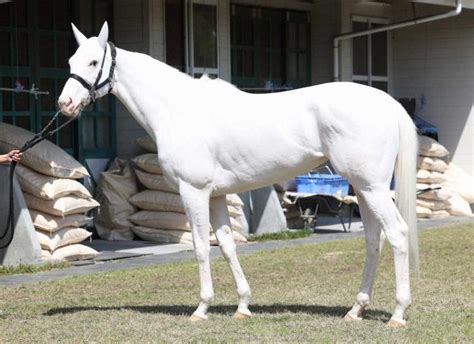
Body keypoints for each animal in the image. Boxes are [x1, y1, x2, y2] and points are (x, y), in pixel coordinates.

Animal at [59, 22, 418, 328]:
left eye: (93, 62)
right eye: (71, 60)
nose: (65, 103)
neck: (178, 109)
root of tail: (386, 102)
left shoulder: (194, 191)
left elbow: (201, 247)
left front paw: (201, 308)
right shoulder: (216, 195)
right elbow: (227, 246)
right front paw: (243, 306)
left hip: (371, 188)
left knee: (398, 234)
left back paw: (398, 314)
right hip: (363, 188)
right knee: (373, 239)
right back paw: (356, 310)